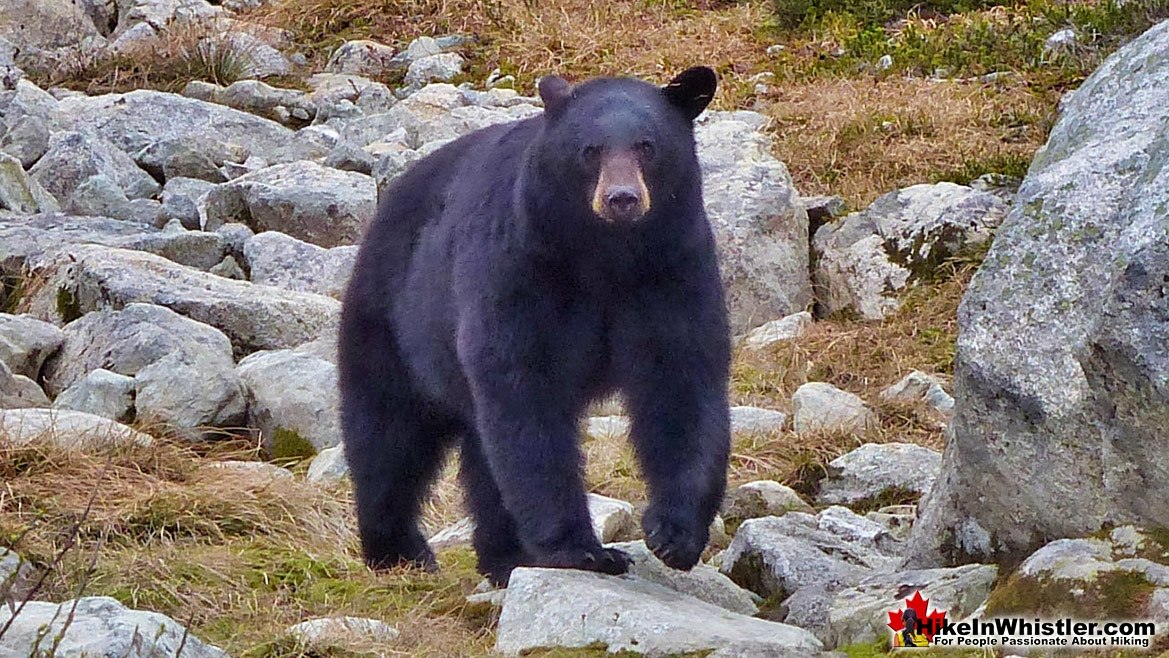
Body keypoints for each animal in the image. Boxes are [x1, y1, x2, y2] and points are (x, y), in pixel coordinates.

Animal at [339, 66, 729, 584]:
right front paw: (583, 550)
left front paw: (675, 534)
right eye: (590, 150)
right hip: (392, 317)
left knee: (479, 456)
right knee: (389, 432)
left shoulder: (672, 269)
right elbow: (525, 389)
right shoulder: (521, 265)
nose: (621, 199)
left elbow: (681, 381)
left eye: (648, 145)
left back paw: (503, 555)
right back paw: (398, 550)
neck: (607, 257)